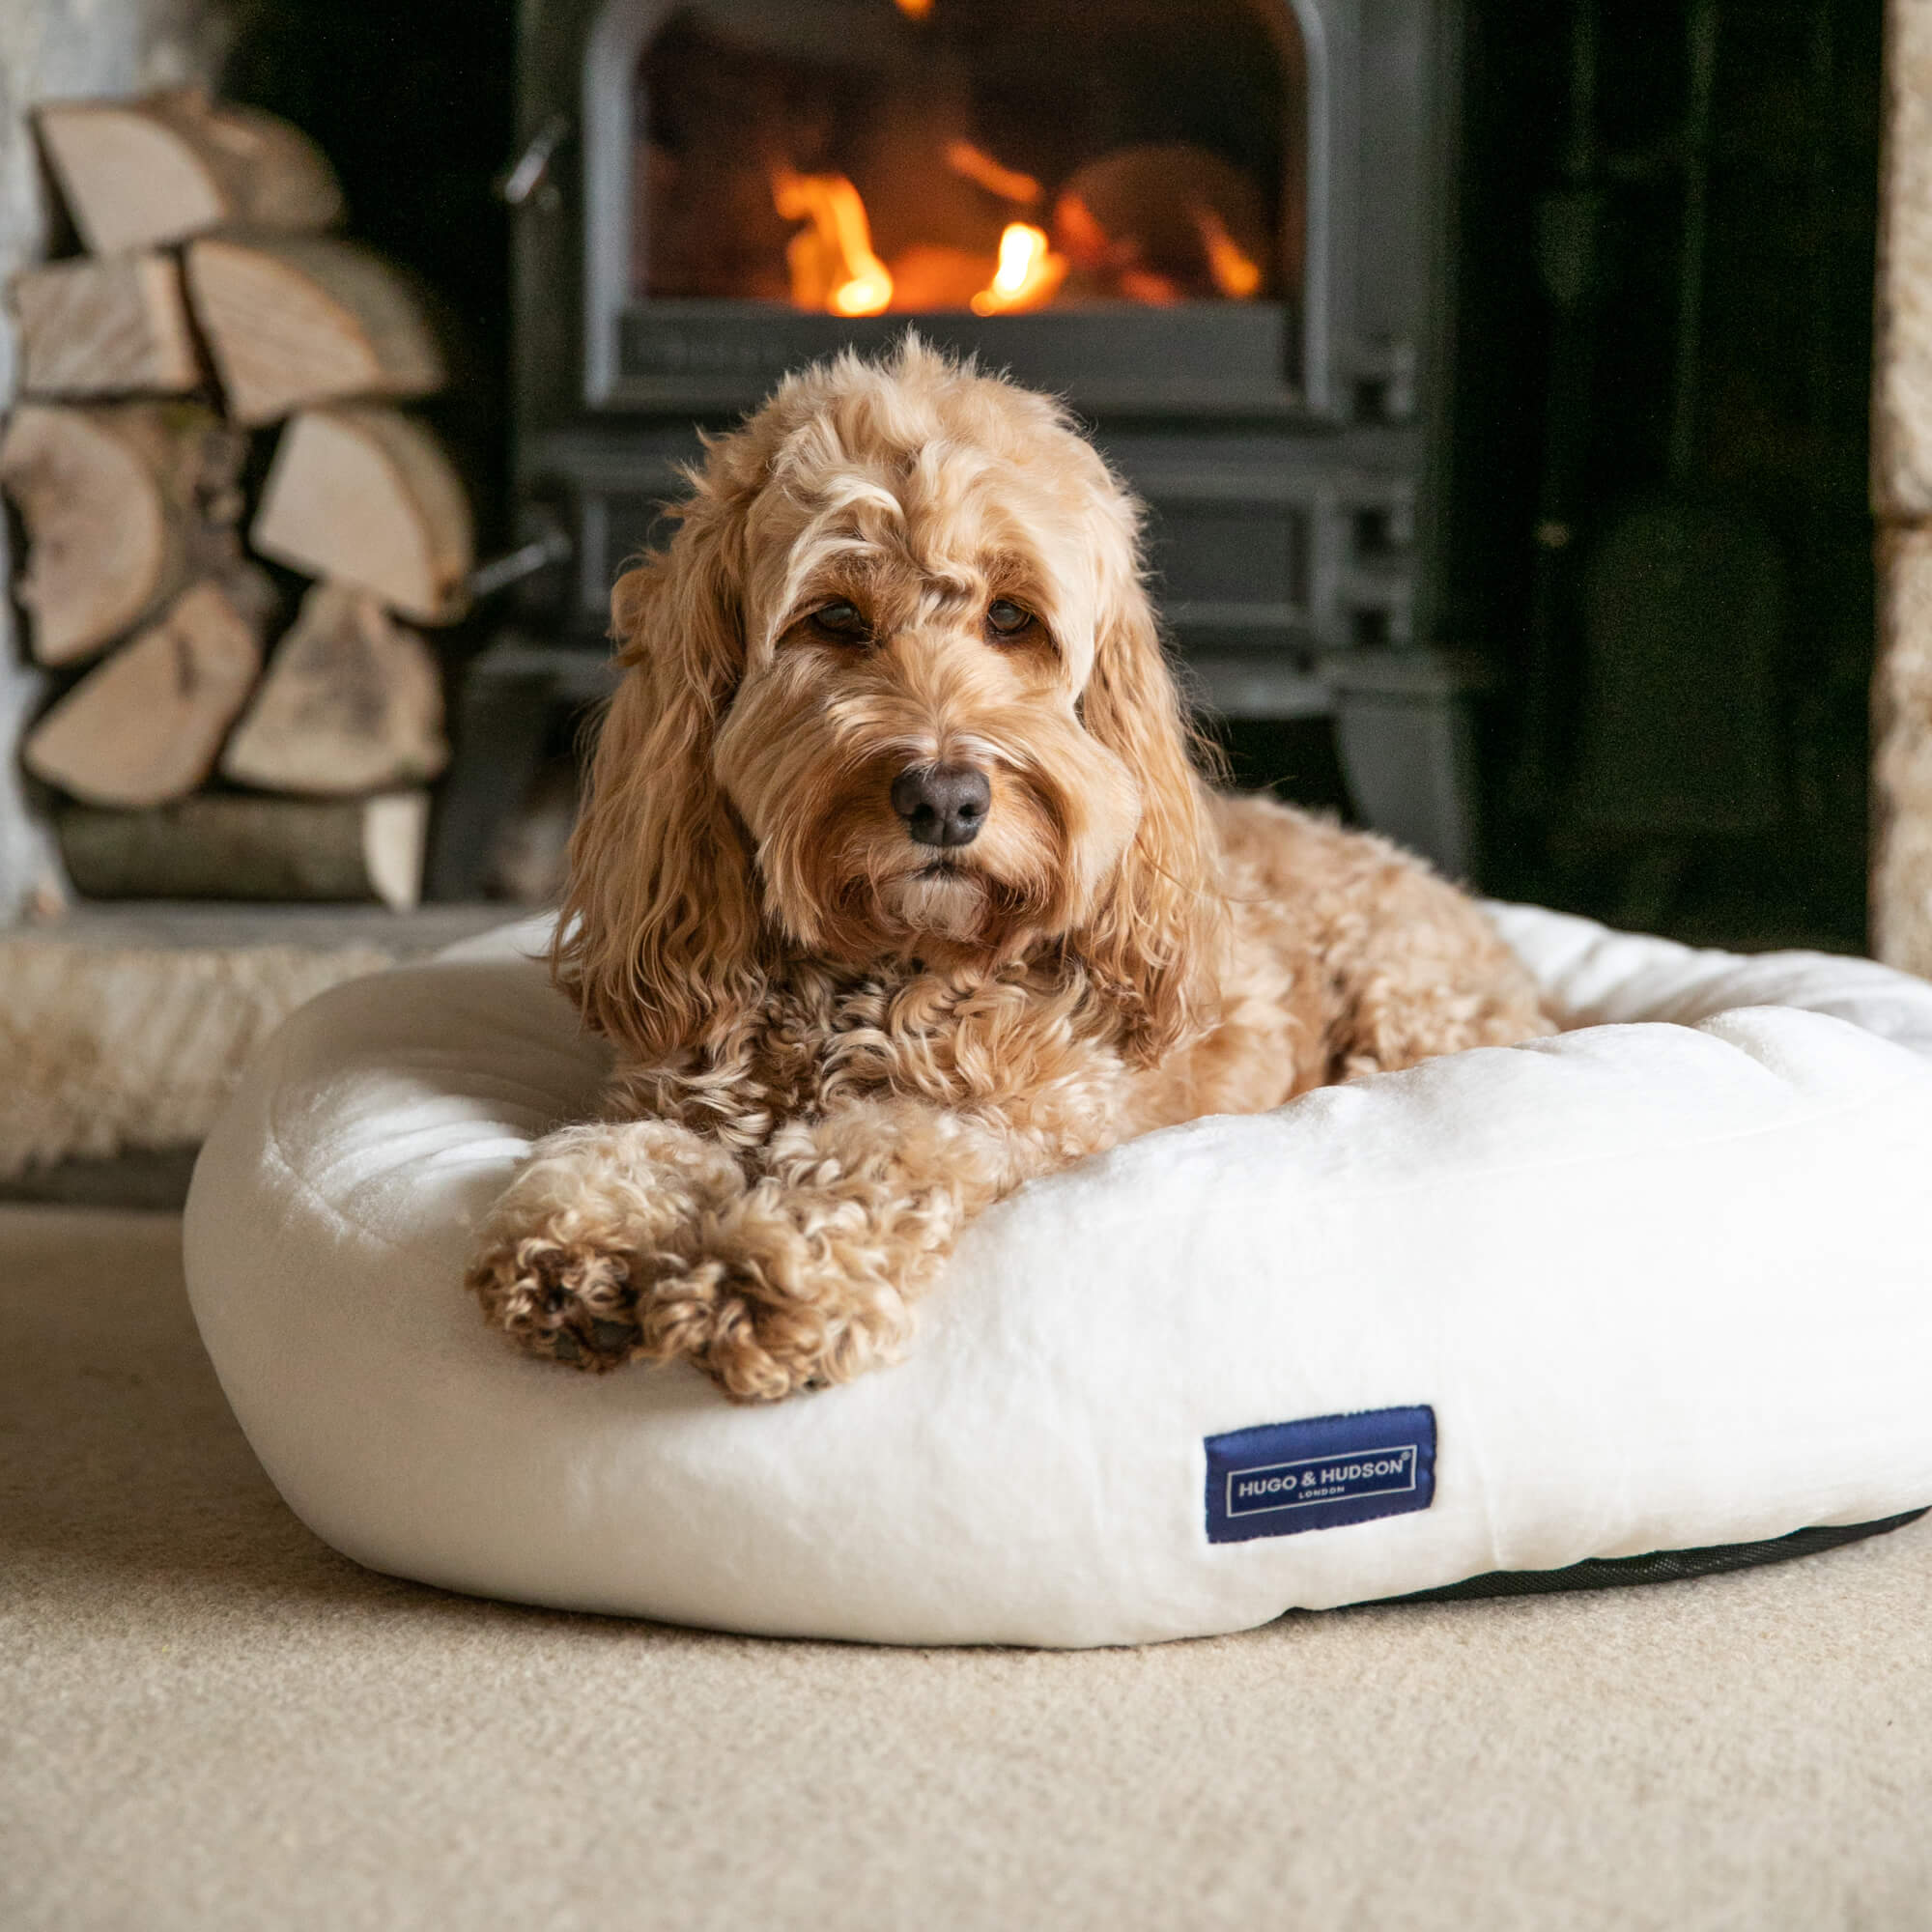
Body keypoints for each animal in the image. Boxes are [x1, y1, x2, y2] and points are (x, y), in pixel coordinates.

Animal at [471, 340, 1553, 1399]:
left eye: (1010, 618)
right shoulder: (674, 1081)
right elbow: (620, 1142)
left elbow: (890, 1146)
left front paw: (768, 1272)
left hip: (1408, 1007)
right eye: (833, 618)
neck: (886, 967)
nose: (944, 800)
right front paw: (580, 1232)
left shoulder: (1035, 1120)